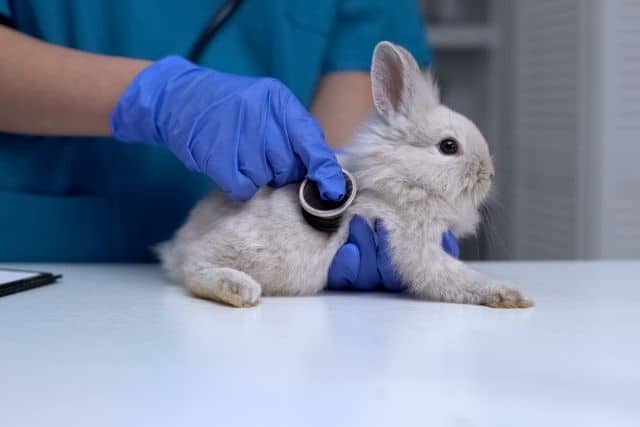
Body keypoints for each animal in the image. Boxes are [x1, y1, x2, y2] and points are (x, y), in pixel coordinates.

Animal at [158, 41, 532, 310]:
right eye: (449, 146)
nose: (489, 174)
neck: (404, 180)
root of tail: (178, 246)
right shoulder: (414, 246)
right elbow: (454, 276)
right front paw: (510, 296)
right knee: (195, 271)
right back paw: (240, 290)